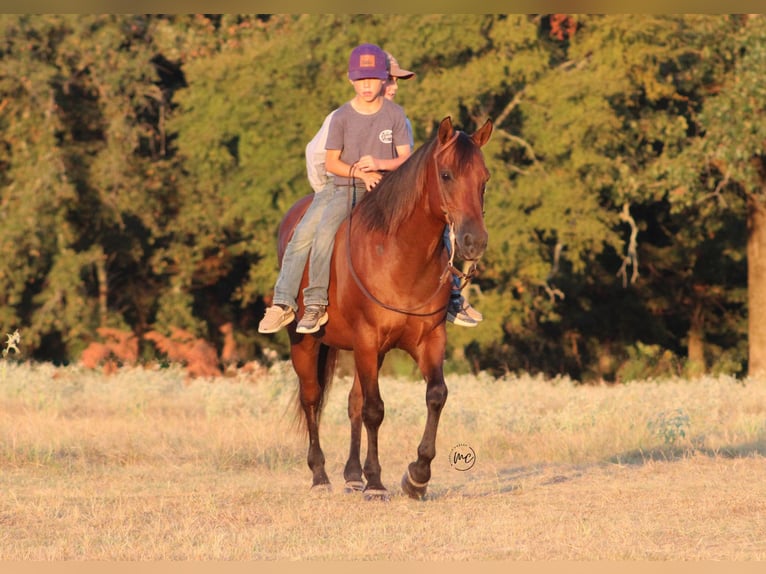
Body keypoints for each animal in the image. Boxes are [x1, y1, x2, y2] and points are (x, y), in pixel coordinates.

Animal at [277, 116, 492, 500]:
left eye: (485, 178)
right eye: (447, 174)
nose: (474, 241)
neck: (399, 255)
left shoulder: (428, 340)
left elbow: (435, 395)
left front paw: (417, 476)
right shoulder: (367, 339)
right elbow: (375, 410)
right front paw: (376, 482)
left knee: (352, 402)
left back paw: (351, 475)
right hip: (307, 342)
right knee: (312, 399)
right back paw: (320, 475)